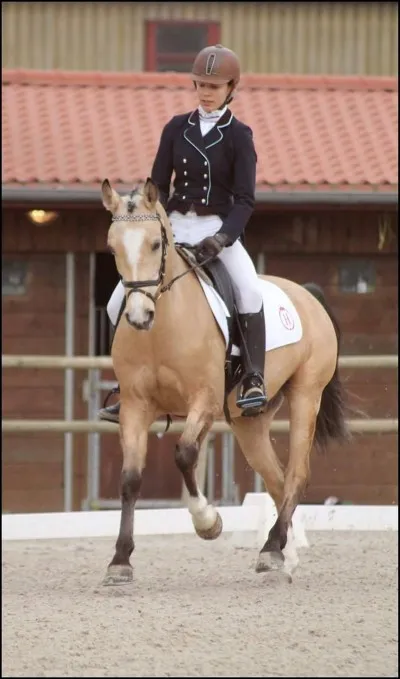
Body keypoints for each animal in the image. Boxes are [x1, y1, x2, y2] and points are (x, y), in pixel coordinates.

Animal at [100, 177, 350, 585]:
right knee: (277, 479)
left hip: (306, 396)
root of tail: (306, 294)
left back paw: (271, 550)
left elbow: (185, 454)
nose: (139, 316)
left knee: (296, 474)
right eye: (112, 246)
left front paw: (208, 522)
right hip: (250, 422)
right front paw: (120, 561)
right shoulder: (135, 406)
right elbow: (130, 478)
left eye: (154, 243)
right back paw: (282, 555)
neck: (162, 328)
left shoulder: (204, 399)